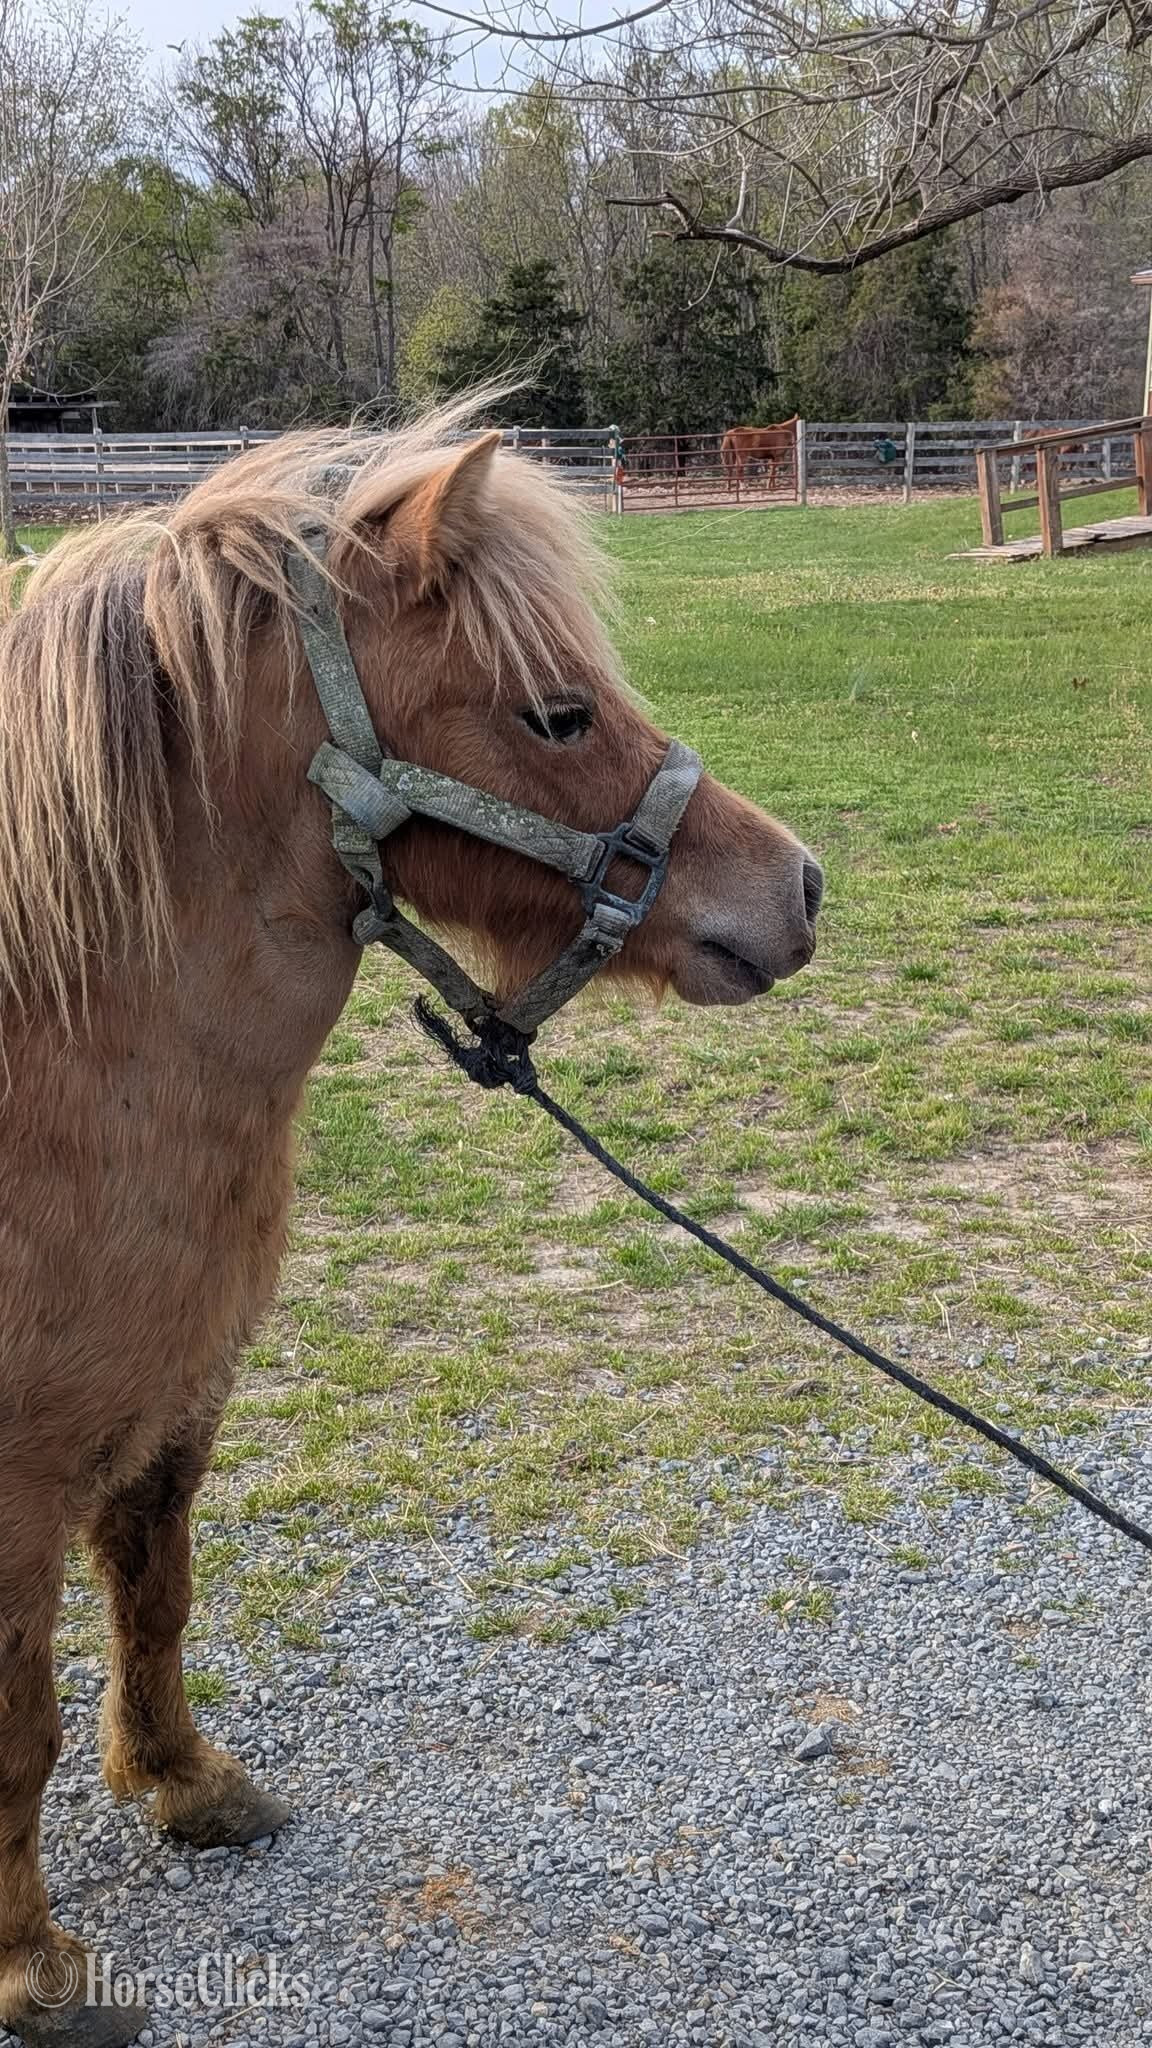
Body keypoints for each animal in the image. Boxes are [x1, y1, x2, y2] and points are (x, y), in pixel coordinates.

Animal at [0, 399, 822, 2048]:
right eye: (557, 714)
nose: (804, 890)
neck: (57, 1048)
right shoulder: (11, 1480)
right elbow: (12, 1725)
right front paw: (34, 1968)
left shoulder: (179, 1388)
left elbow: (153, 1589)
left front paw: (183, 1784)